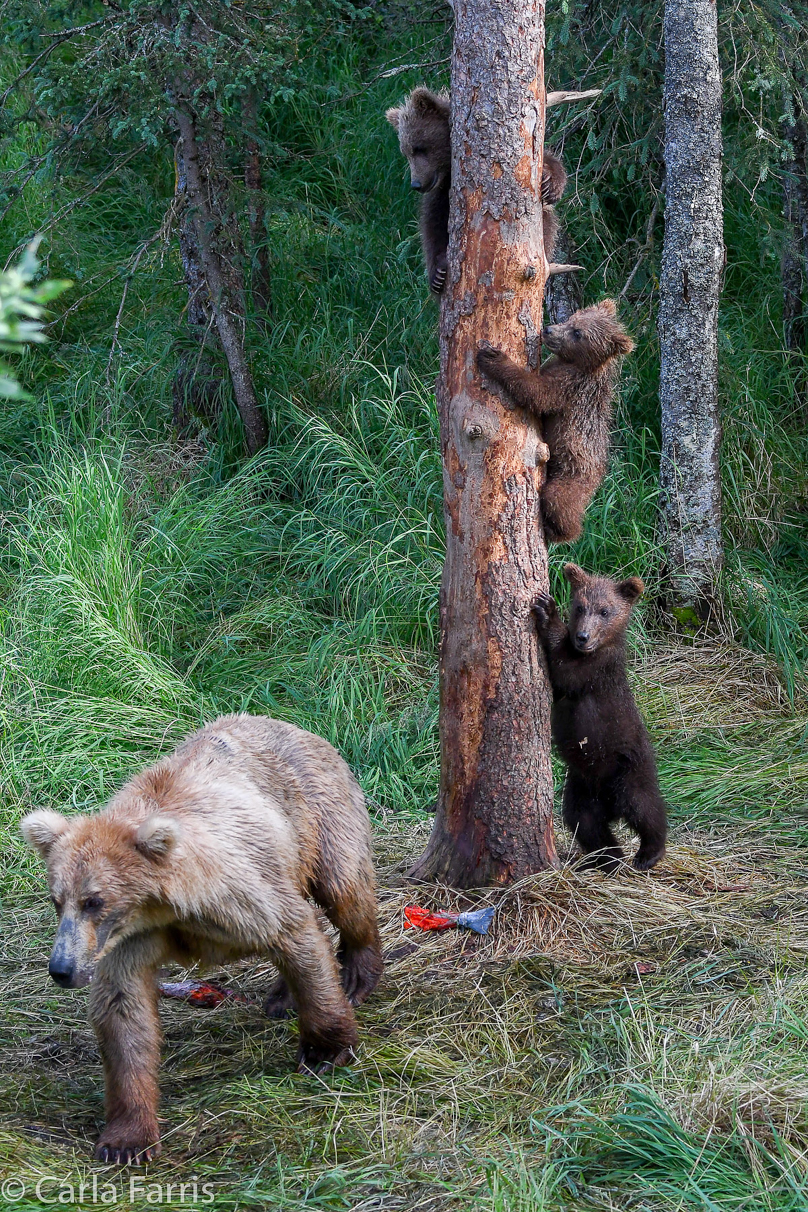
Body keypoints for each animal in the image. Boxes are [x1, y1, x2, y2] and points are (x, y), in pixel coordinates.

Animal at [20, 717, 385, 1163]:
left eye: (94, 900)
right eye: (57, 900)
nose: (61, 968)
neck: (170, 905)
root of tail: (295, 726)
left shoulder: (240, 895)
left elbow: (295, 933)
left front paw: (324, 1052)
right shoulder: (131, 940)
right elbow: (123, 1009)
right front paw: (126, 1140)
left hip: (318, 812)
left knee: (344, 889)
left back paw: (356, 974)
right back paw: (283, 997)